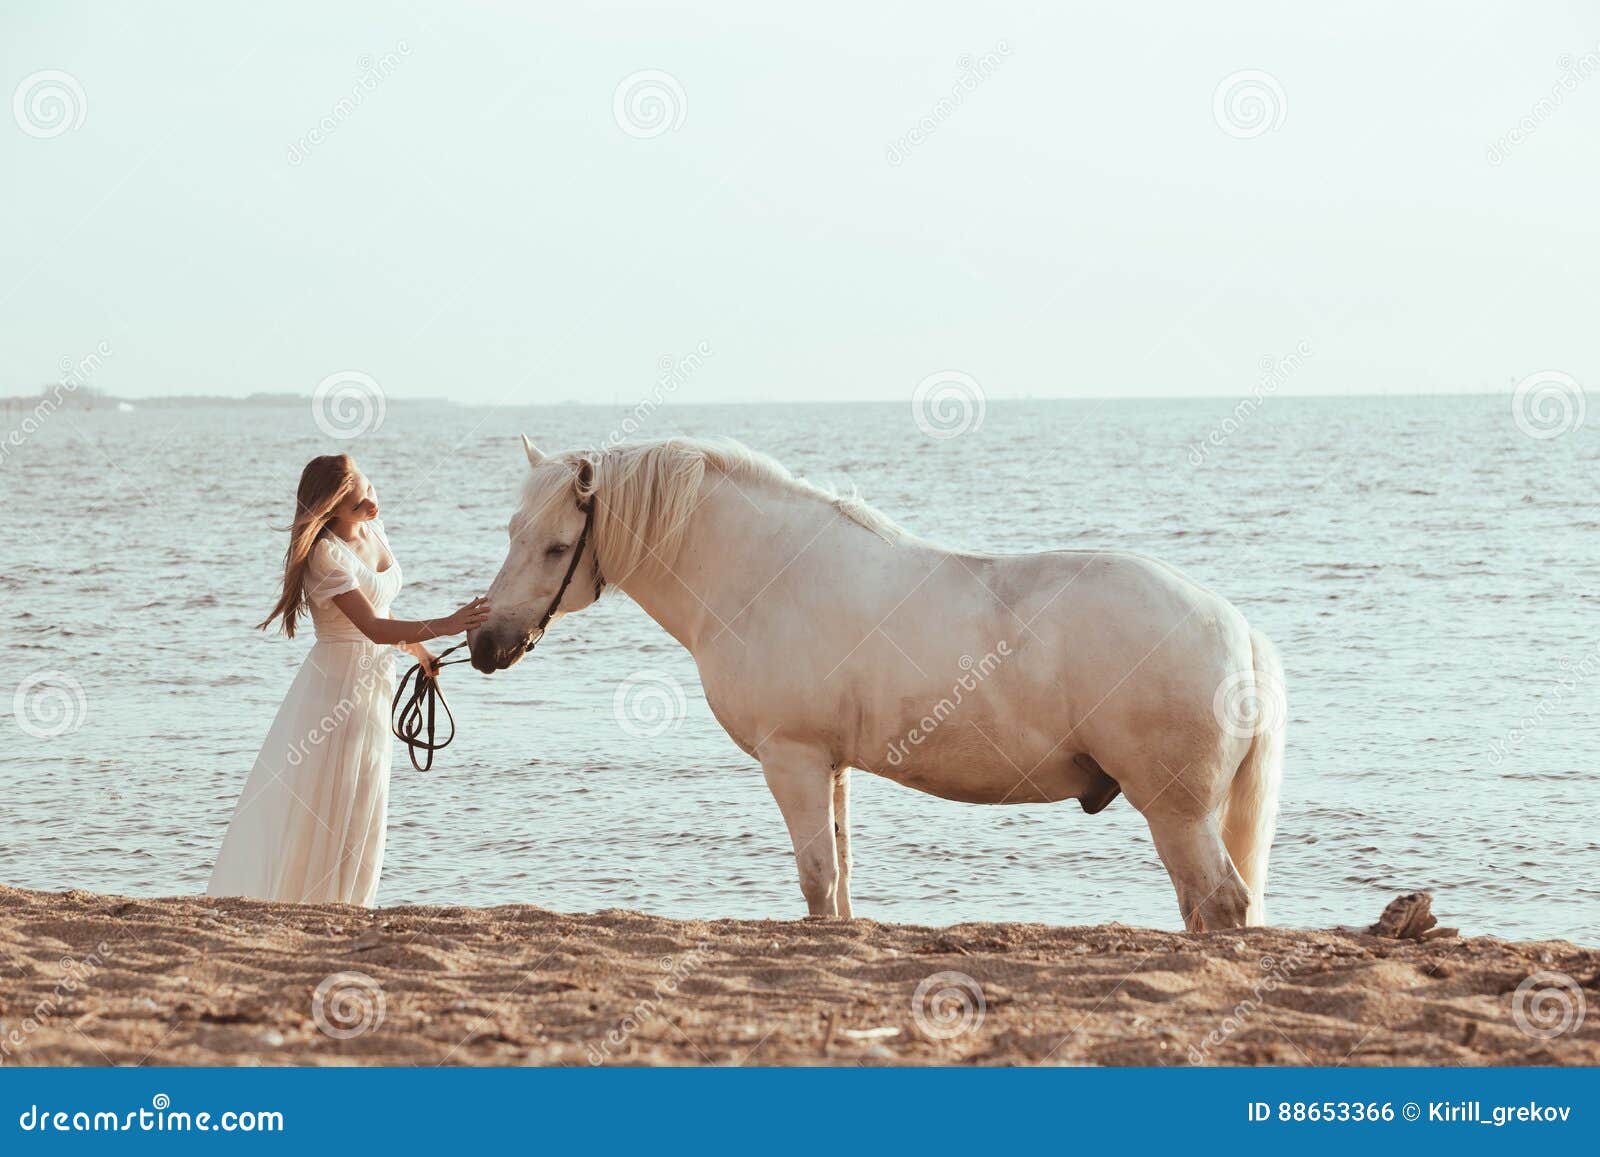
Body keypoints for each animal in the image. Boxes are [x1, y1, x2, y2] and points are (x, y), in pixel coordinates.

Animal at [470, 435, 1286, 934]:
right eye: (508, 530)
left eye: (555, 547)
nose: (484, 643)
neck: (765, 573)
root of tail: (1238, 629)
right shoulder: (830, 767)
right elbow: (838, 882)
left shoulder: (793, 759)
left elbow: (815, 877)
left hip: (1176, 811)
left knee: (1221, 903)